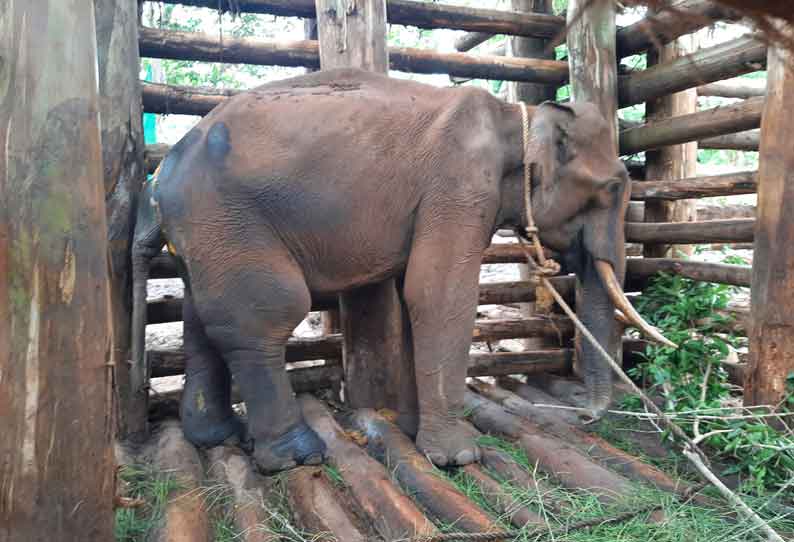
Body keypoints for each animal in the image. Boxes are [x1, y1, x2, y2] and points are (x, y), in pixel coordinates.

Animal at [133, 68, 672, 476]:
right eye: (613, 188)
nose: (585, 413)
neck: (512, 115)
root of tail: (159, 177)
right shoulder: (458, 185)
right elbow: (438, 293)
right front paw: (458, 457)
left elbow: (413, 294)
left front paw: (414, 433)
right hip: (225, 218)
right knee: (265, 315)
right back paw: (296, 456)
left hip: (204, 234)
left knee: (200, 316)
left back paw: (215, 436)